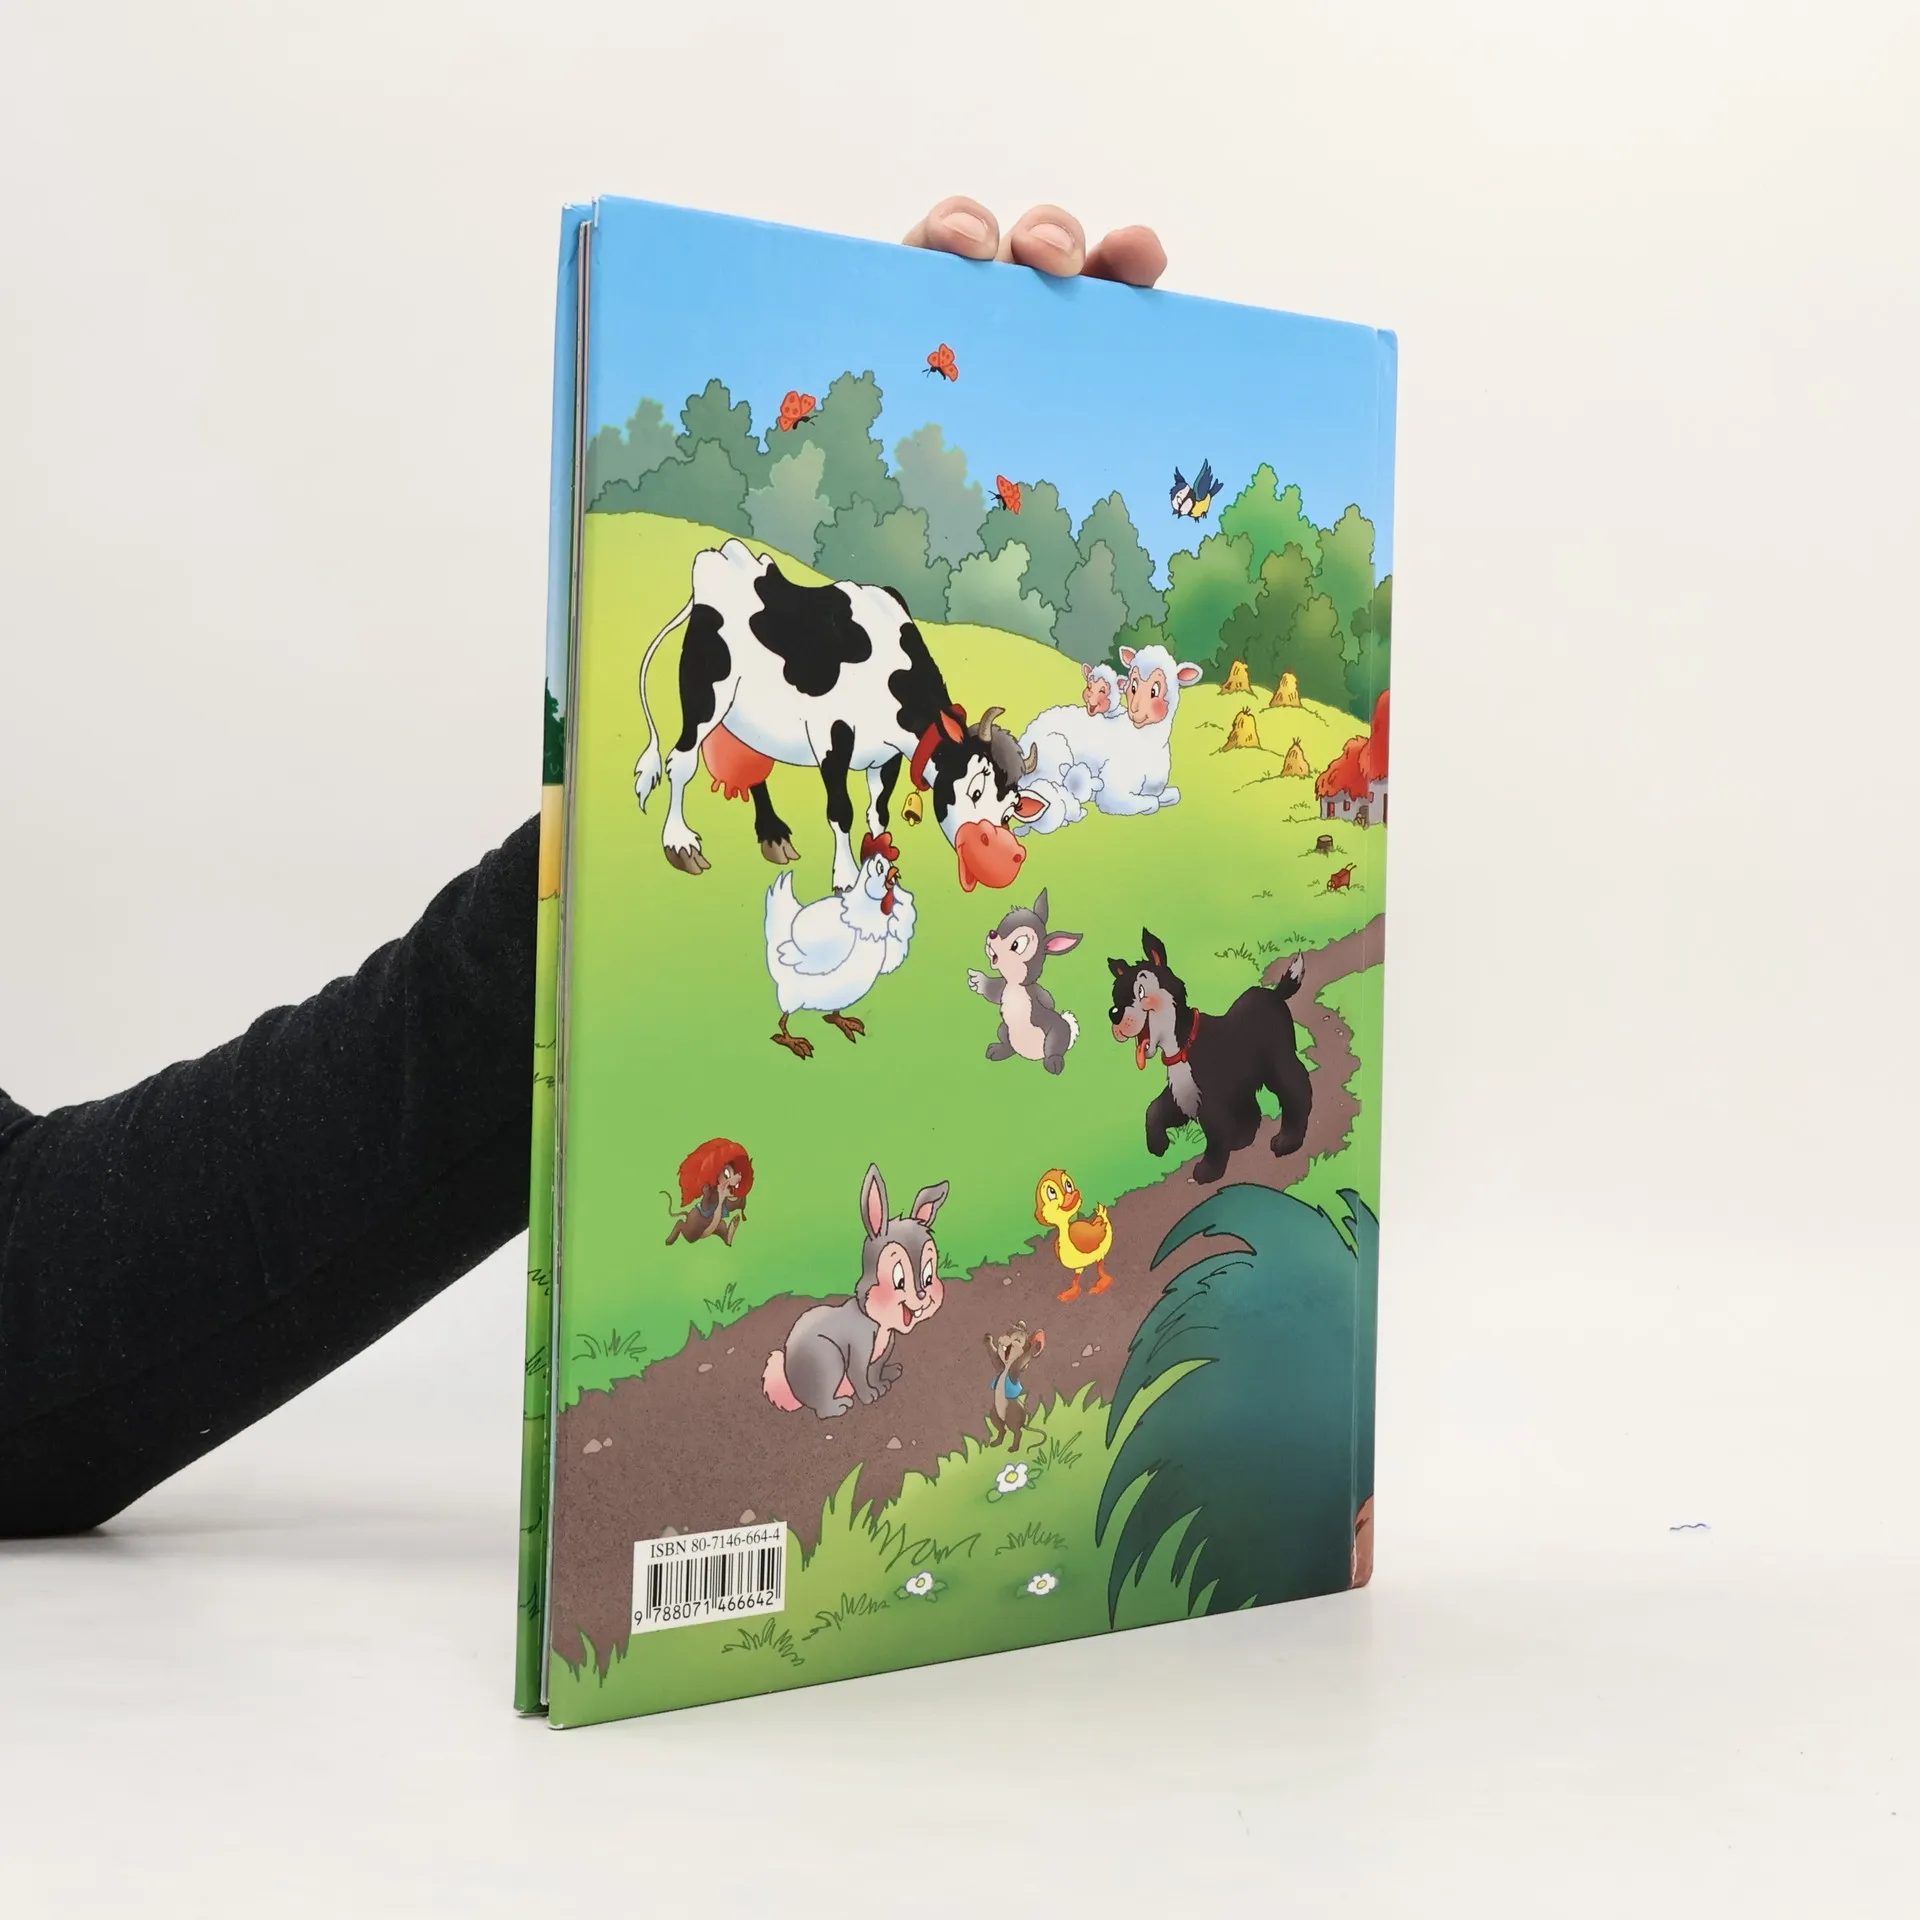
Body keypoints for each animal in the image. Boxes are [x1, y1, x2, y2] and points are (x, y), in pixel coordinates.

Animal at [634, 541, 1044, 893]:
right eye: (975, 790)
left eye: (1009, 813)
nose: (1008, 859)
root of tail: (723, 557)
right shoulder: (831, 738)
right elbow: (841, 811)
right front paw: (847, 879)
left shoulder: (886, 756)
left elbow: (878, 813)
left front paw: (880, 868)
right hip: (705, 693)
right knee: (681, 761)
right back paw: (680, 844)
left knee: (751, 761)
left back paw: (773, 836)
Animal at [1107, 929, 1312, 1184]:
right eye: (1117, 997)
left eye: (1140, 990)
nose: (1113, 1014)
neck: (1184, 1043)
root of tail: (1274, 994)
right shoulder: (1183, 1094)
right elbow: (1154, 1110)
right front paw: (1158, 1144)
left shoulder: (1209, 1098)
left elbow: (1214, 1132)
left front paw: (1208, 1171)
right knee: (1250, 1108)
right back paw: (1240, 1140)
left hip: (1277, 1060)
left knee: (1296, 1088)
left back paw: (1287, 1141)